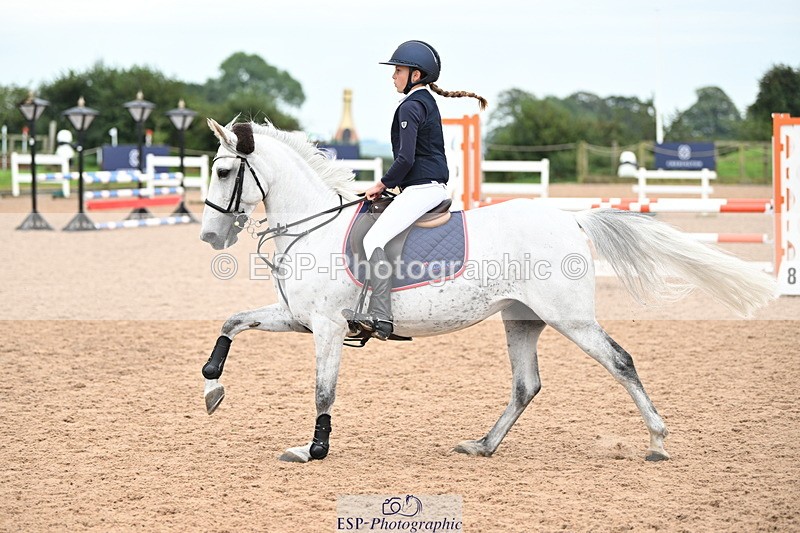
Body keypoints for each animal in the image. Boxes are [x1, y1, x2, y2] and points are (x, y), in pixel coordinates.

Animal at [199, 118, 776, 463]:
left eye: (225, 170)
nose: (210, 237)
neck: (314, 225)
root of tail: (572, 219)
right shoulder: (297, 318)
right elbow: (232, 321)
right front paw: (211, 386)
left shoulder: (327, 326)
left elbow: (324, 389)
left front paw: (313, 450)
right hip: (521, 318)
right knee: (526, 385)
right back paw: (483, 444)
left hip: (570, 319)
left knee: (619, 361)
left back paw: (656, 440)